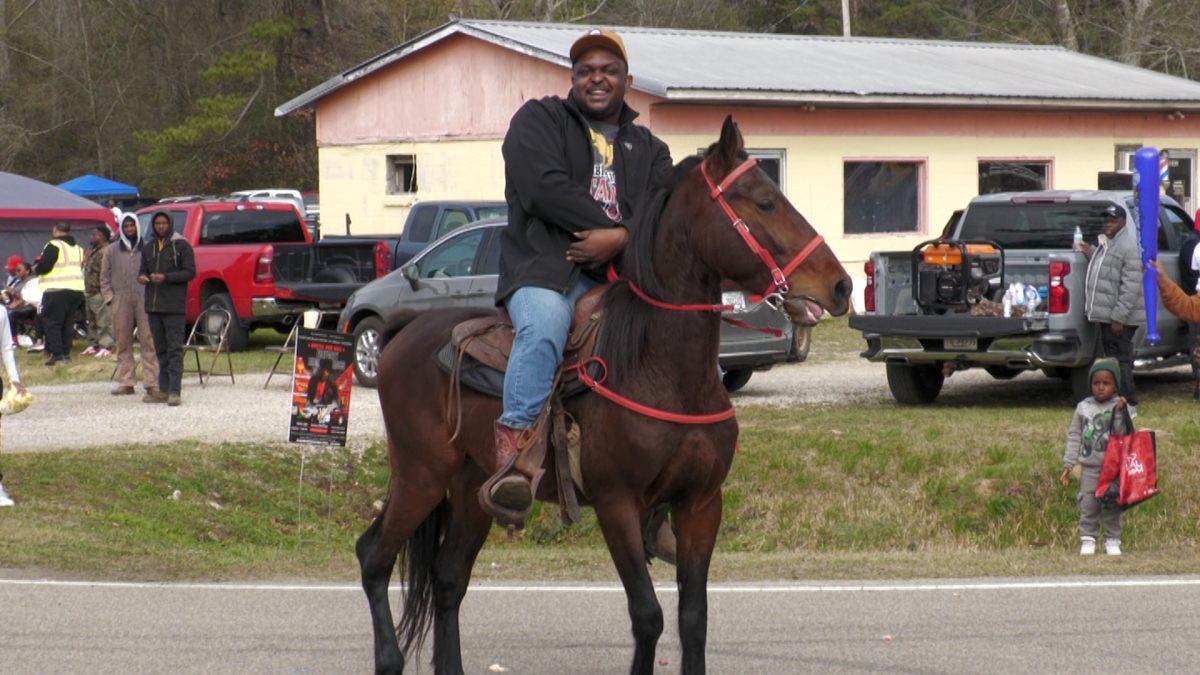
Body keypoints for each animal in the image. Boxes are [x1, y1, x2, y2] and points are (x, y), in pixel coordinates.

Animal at [355, 117, 854, 672]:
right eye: (764, 202)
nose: (840, 286)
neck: (662, 369)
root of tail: (404, 330)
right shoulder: (618, 505)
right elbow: (648, 615)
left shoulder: (701, 505)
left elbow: (693, 619)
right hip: (421, 475)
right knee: (373, 555)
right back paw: (389, 658)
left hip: (470, 487)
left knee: (447, 579)